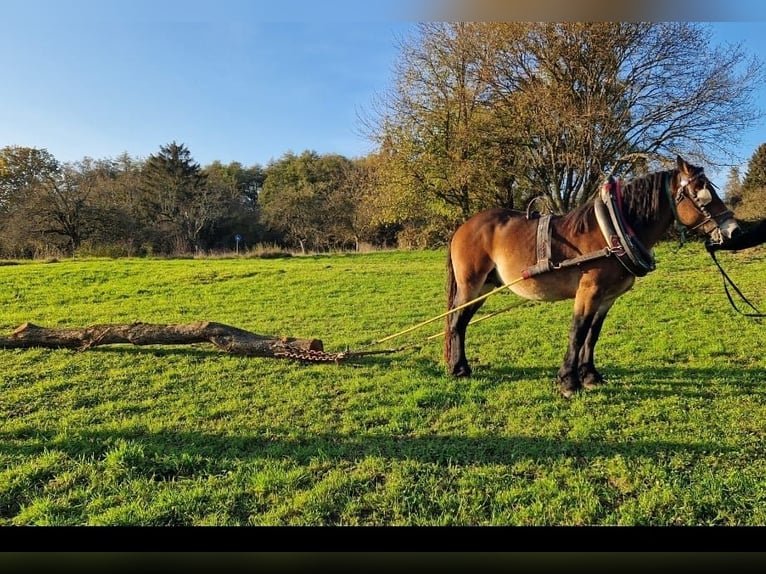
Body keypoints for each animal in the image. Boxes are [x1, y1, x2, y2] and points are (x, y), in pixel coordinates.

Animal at [448, 158, 740, 400]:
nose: (734, 231)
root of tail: (463, 227)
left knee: (462, 322)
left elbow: (592, 334)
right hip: (471, 284)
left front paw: (589, 376)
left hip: (486, 287)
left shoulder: (607, 297)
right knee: (455, 321)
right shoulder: (589, 291)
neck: (612, 234)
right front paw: (568, 382)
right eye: (701, 194)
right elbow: (577, 333)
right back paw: (458, 368)